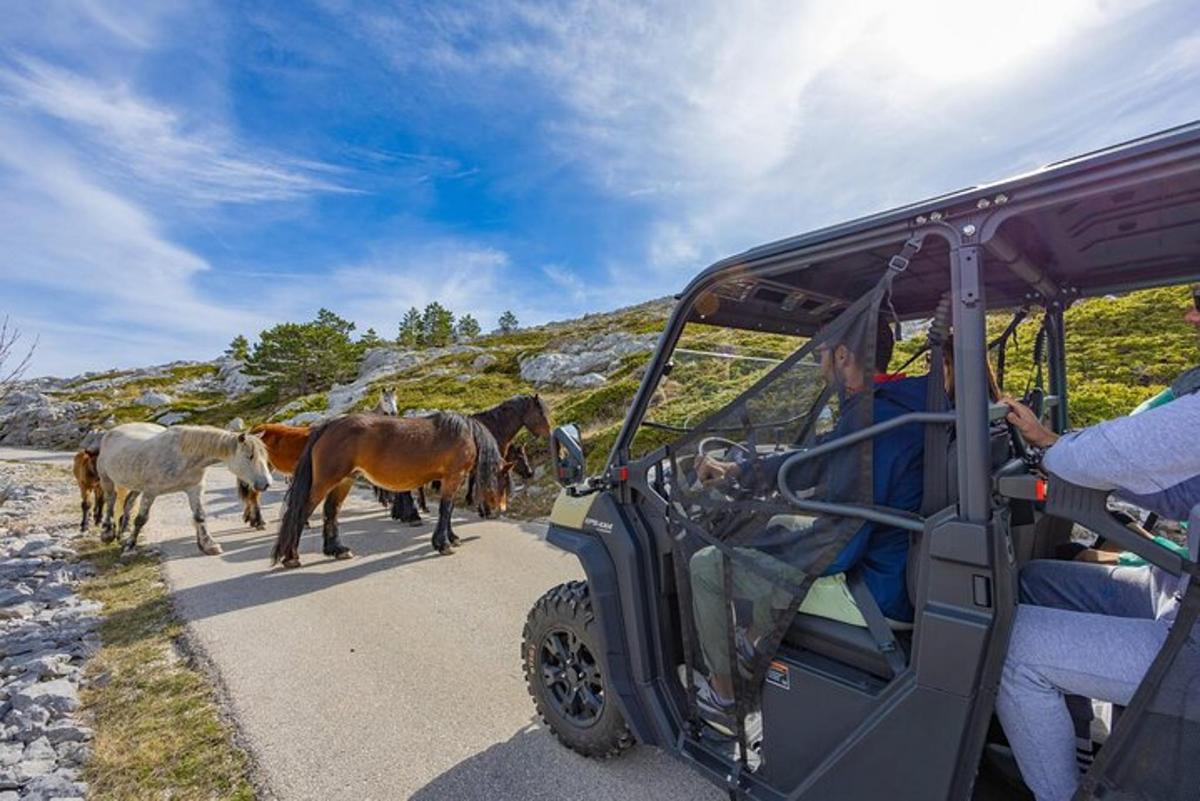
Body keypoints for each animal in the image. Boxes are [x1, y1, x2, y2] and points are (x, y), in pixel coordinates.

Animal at [96, 422, 272, 553]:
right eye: (249, 456)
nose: (266, 483)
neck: (184, 456)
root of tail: (111, 432)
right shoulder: (150, 492)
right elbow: (141, 519)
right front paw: (130, 545)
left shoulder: (194, 489)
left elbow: (200, 516)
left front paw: (209, 545)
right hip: (107, 480)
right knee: (110, 501)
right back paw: (107, 534)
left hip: (136, 486)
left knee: (128, 503)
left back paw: (123, 533)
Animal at [272, 412, 511, 568]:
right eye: (501, 482)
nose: (498, 511)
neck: (465, 434)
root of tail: (329, 425)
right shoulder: (453, 478)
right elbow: (446, 510)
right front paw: (443, 544)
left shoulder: (449, 480)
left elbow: (449, 511)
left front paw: (451, 538)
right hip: (325, 482)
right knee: (301, 513)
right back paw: (291, 556)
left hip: (344, 481)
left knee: (331, 511)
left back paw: (338, 550)